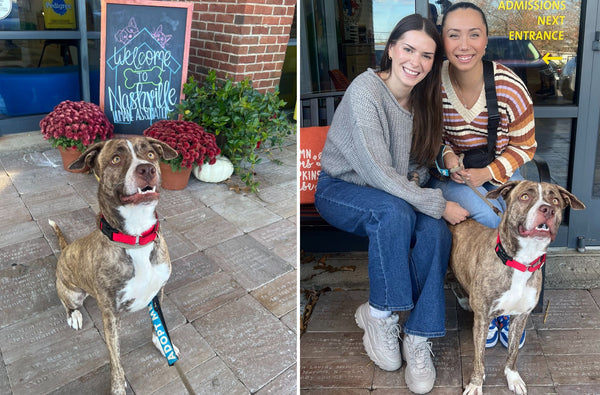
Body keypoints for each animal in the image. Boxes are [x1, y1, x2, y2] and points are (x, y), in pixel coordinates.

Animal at [48, 137, 180, 395]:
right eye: (116, 159)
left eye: (151, 155)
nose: (146, 169)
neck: (137, 238)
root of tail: (66, 250)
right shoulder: (110, 316)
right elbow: (115, 359)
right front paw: (118, 387)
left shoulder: (157, 292)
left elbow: (156, 326)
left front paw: (163, 344)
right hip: (71, 292)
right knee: (67, 302)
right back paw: (74, 315)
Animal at [450, 181, 584, 394]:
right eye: (525, 197)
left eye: (555, 200)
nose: (547, 209)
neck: (522, 261)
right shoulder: (482, 319)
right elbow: (479, 358)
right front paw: (476, 383)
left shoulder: (521, 316)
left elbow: (512, 353)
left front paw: (513, 378)